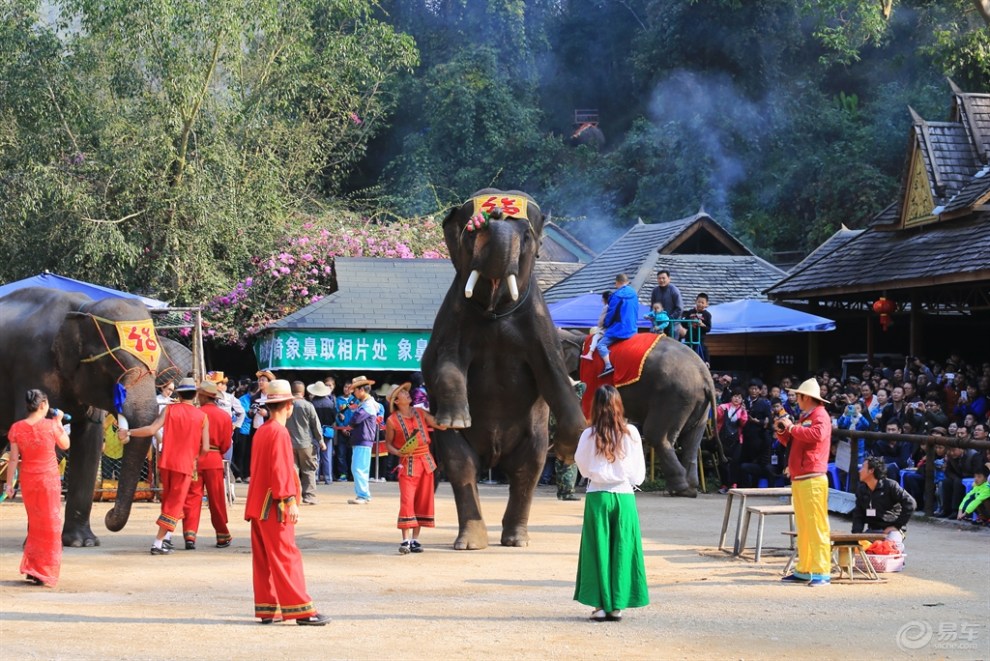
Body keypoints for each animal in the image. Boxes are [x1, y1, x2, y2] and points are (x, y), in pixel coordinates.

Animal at [420, 188, 588, 548]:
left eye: (526, 236)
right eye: (469, 232)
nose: (494, 214)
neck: (496, 311)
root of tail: (494, 461)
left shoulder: (541, 326)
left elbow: (555, 377)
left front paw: (569, 447)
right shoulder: (451, 319)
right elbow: (442, 364)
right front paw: (455, 419)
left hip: (533, 438)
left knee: (529, 468)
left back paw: (516, 539)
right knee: (462, 464)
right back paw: (470, 542)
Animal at [560, 328, 716, 492]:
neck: (579, 337)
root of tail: (705, 376)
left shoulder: (592, 378)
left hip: (673, 397)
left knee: (657, 436)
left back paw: (679, 488)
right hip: (698, 403)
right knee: (692, 440)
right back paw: (690, 487)